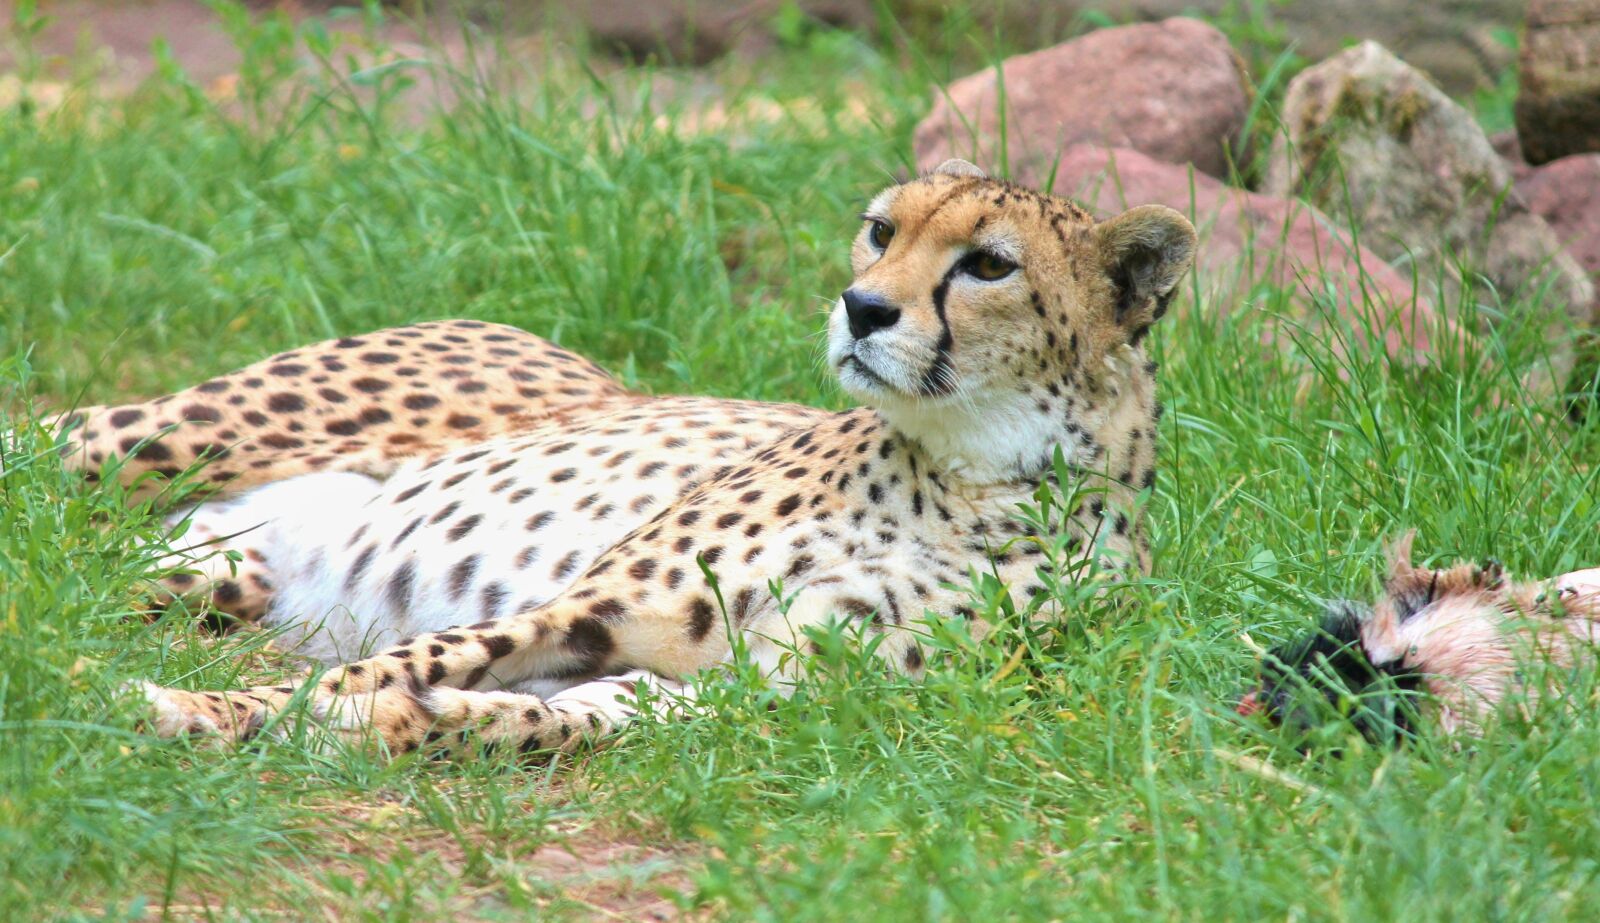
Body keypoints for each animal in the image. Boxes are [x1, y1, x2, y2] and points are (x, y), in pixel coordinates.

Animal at [58, 159, 1195, 757]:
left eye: (989, 265)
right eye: (881, 231)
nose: (863, 307)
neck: (967, 476)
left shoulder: (752, 690)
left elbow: (534, 717)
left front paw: (399, 722)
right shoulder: (581, 607)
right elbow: (394, 661)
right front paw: (196, 708)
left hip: (201, 566)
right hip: (176, 437)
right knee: (58, 446)